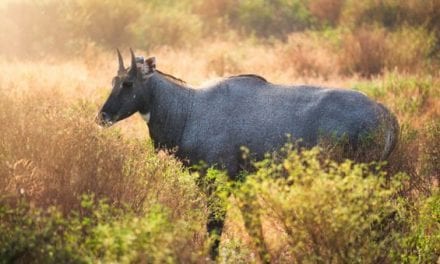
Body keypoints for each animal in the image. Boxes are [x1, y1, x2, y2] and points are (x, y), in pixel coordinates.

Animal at [99, 49, 398, 262]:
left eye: (128, 83)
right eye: (113, 80)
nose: (102, 116)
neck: (188, 109)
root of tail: (385, 113)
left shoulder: (216, 182)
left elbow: (215, 227)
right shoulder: (242, 184)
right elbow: (253, 227)